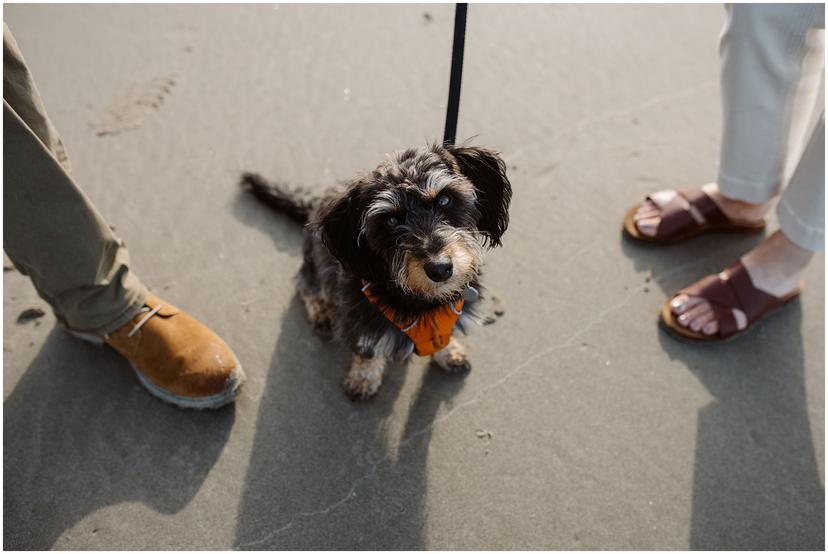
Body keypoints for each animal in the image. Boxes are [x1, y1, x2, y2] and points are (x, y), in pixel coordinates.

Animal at [241, 142, 512, 398]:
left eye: (445, 199)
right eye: (391, 221)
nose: (440, 268)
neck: (422, 300)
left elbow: (445, 335)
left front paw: (449, 351)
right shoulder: (362, 315)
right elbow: (368, 349)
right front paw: (363, 379)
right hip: (315, 263)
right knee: (305, 284)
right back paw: (321, 310)